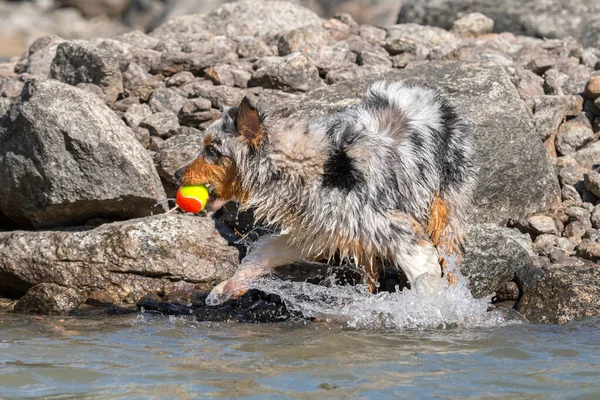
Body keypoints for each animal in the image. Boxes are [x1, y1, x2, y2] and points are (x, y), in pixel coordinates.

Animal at [175, 82, 478, 306]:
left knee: (450, 257)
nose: (177, 174)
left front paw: (435, 310)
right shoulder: (319, 228)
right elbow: (266, 251)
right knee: (369, 275)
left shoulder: (393, 228)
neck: (304, 167)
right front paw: (227, 288)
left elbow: (424, 273)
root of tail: (434, 98)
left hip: (445, 210)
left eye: (212, 151)